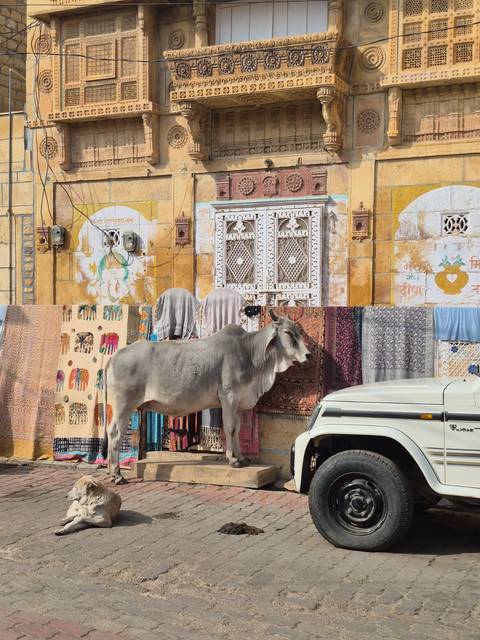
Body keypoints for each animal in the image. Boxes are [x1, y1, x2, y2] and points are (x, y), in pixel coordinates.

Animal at [102, 310, 310, 484]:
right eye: (288, 333)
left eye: (298, 331)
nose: (308, 354)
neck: (250, 354)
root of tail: (114, 357)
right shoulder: (229, 397)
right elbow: (230, 429)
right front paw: (233, 460)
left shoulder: (237, 403)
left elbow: (237, 429)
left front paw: (242, 458)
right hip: (123, 405)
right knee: (115, 433)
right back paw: (117, 474)